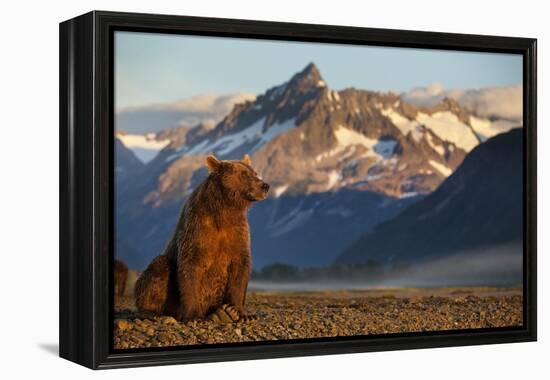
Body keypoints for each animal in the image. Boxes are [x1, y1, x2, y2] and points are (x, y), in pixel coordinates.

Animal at [135, 153, 270, 322]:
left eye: (255, 172)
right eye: (244, 174)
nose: (265, 186)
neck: (224, 209)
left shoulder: (237, 232)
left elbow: (240, 267)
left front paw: (240, 312)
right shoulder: (197, 230)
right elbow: (190, 267)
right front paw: (194, 315)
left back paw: (222, 313)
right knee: (158, 268)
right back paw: (150, 312)